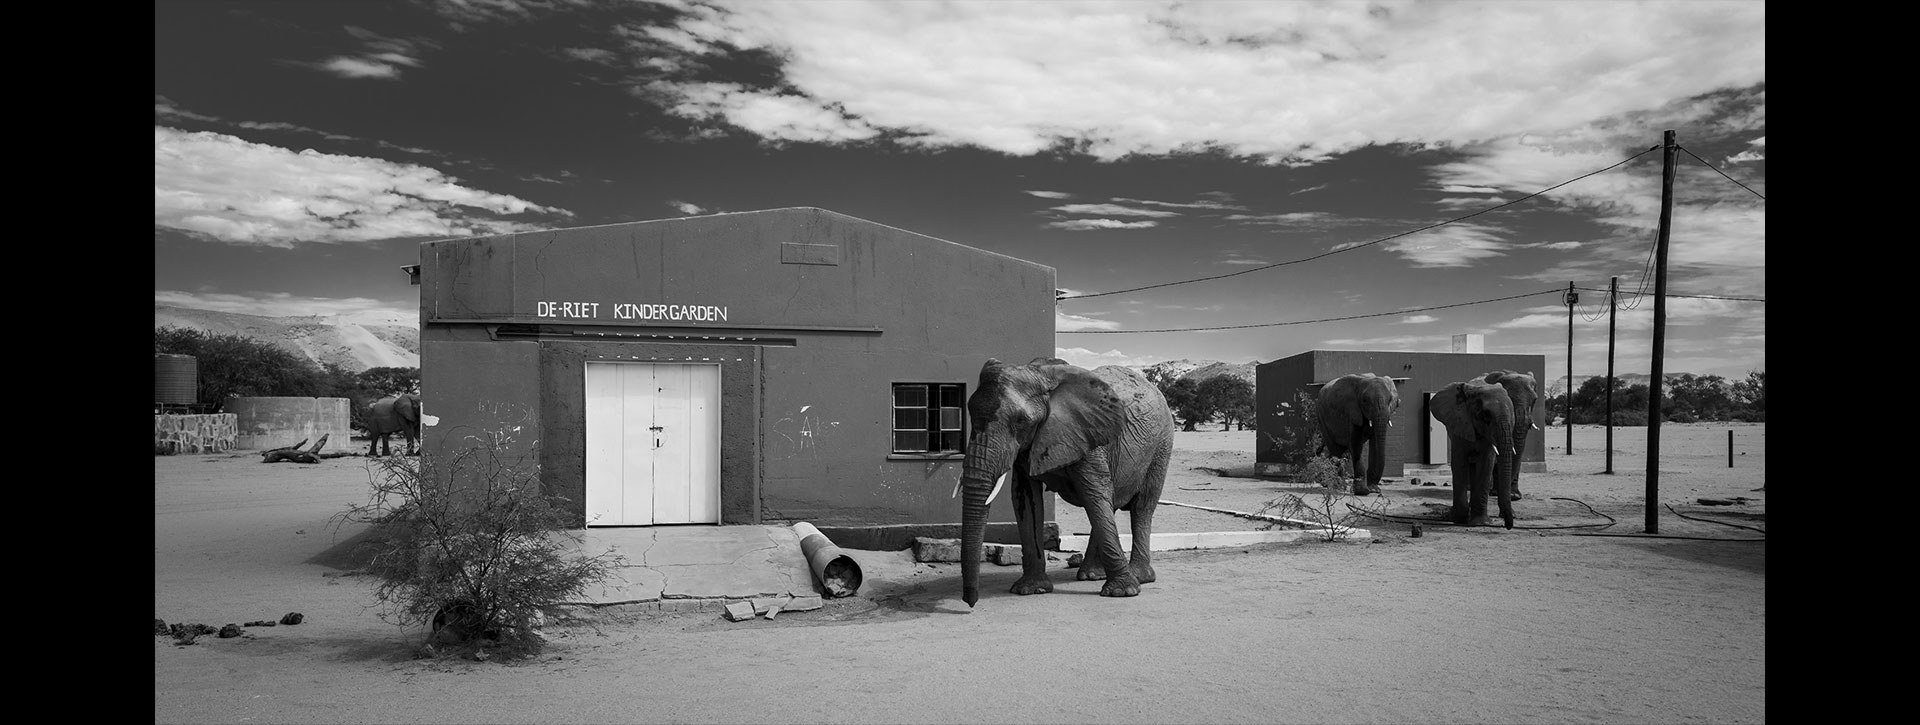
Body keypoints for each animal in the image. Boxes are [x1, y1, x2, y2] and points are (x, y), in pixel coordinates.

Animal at [956, 356, 1167, 606]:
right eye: (969, 411)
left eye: (1021, 421)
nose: (970, 603)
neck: (1041, 373)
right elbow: (1025, 499)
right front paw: (1031, 589)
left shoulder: (1087, 436)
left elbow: (1094, 494)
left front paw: (1122, 592)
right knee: (1109, 505)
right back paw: (1091, 575)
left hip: (1161, 446)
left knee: (1141, 508)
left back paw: (1139, 576)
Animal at [1428, 379, 1512, 525]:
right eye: (1485, 416)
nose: (1507, 526)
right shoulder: (1459, 427)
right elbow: (1459, 463)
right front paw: (1457, 519)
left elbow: (1486, 464)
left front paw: (1480, 523)